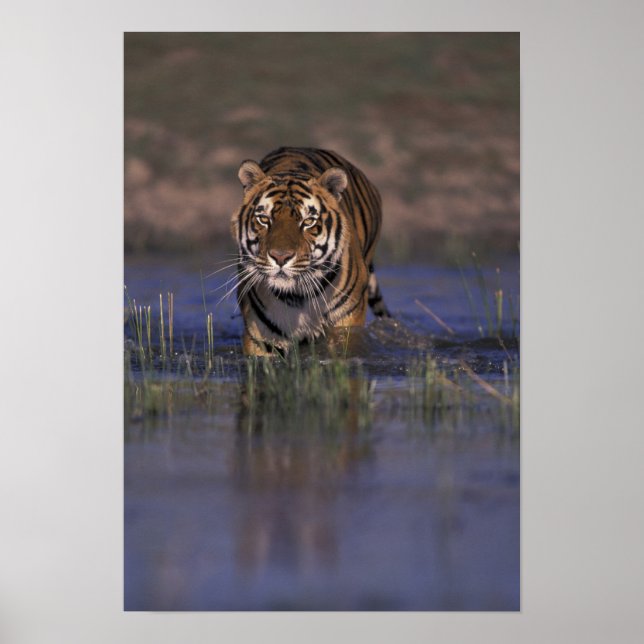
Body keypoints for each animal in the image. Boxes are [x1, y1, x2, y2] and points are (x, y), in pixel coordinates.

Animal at [230, 147, 390, 356]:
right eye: (264, 219)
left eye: (308, 222)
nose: (280, 257)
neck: (297, 297)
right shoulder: (261, 335)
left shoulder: (345, 322)